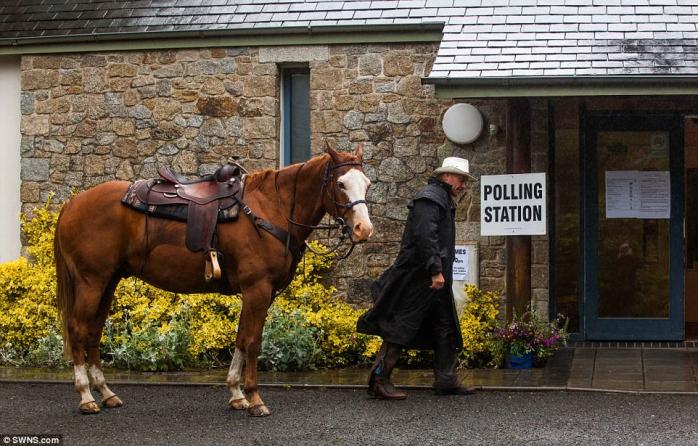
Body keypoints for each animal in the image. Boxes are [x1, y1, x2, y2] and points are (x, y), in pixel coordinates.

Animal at [53, 145, 370, 416]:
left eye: (366, 184)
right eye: (341, 184)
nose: (363, 229)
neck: (271, 208)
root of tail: (72, 203)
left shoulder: (257, 294)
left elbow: (241, 339)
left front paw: (237, 395)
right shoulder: (258, 289)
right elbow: (252, 341)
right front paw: (255, 398)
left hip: (108, 281)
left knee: (93, 331)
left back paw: (106, 393)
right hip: (91, 282)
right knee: (78, 329)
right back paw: (86, 396)